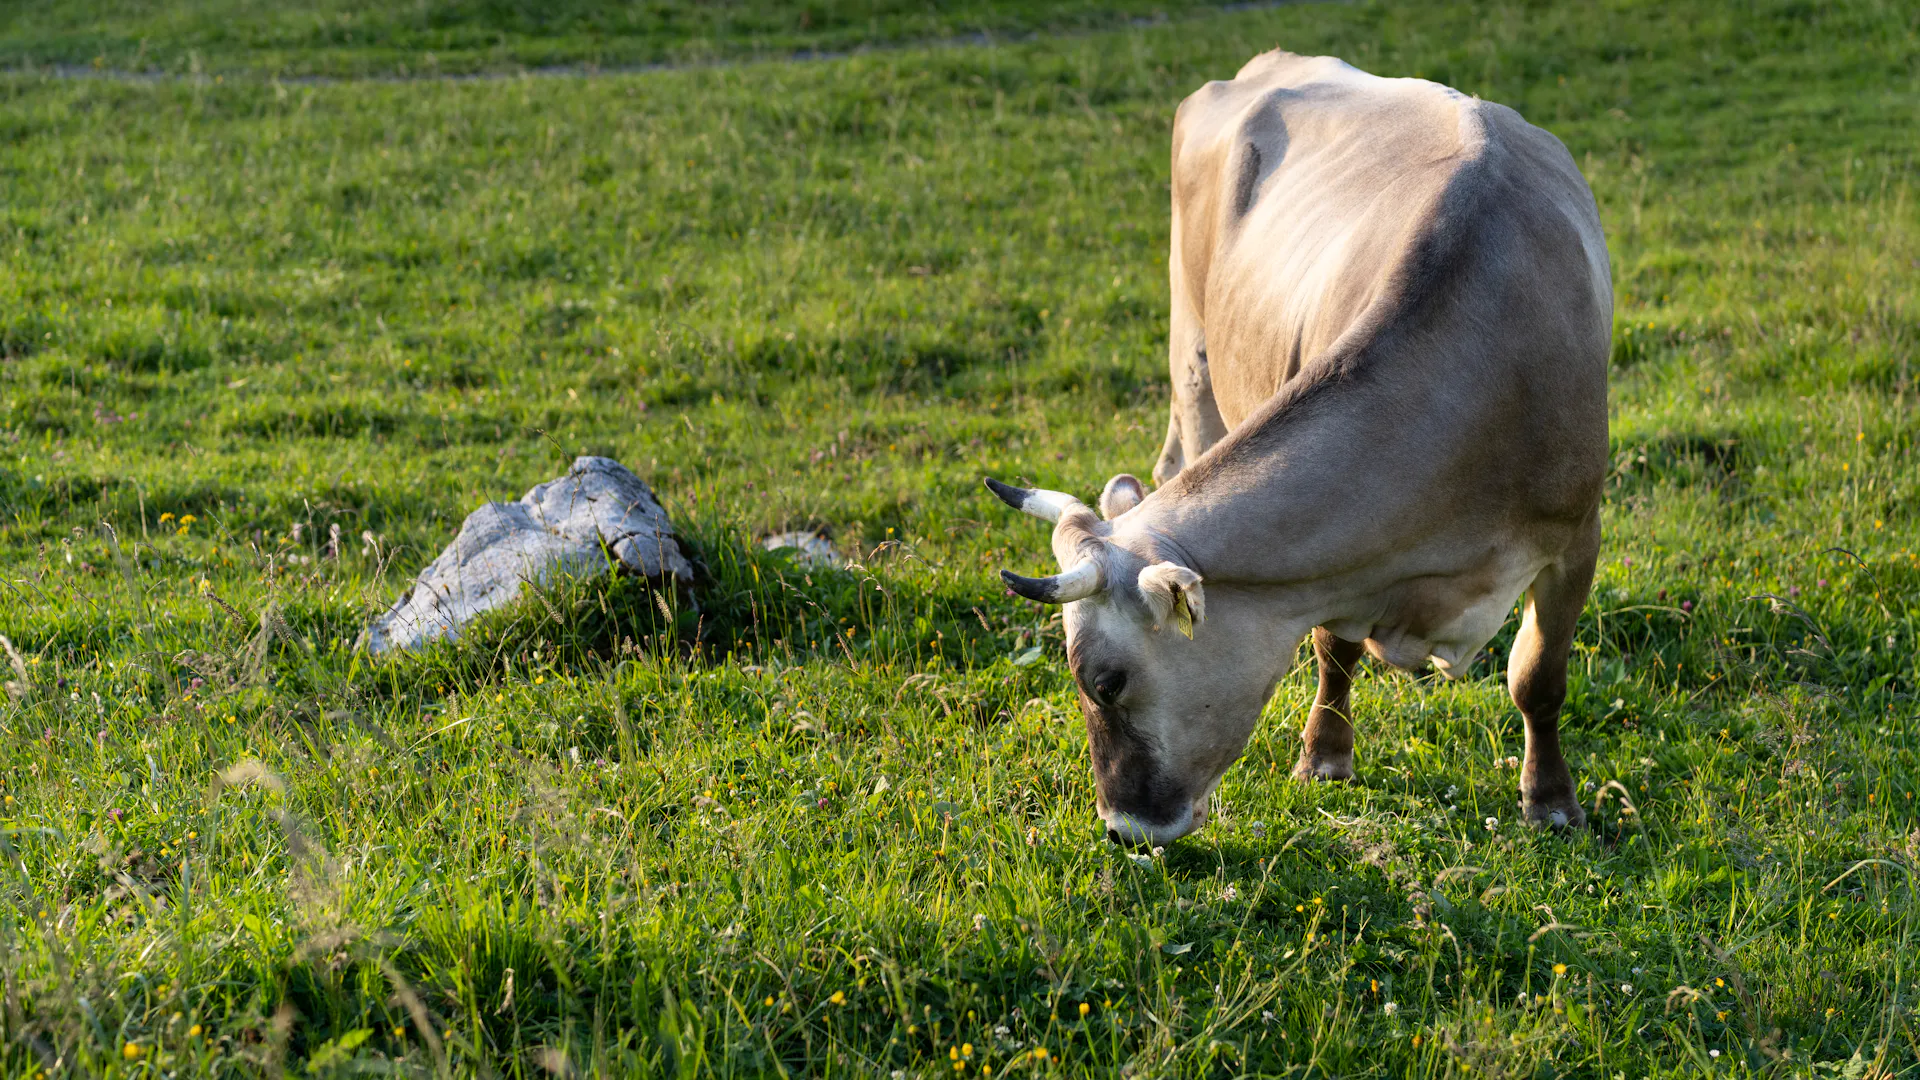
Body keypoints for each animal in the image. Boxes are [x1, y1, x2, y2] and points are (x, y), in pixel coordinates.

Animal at [986, 51, 1612, 847]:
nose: (1121, 828)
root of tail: (1267, 64)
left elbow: (1538, 677)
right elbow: (1333, 650)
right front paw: (1325, 756)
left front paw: (1552, 801)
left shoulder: (1576, 535)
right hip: (1192, 354)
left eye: (1106, 681)